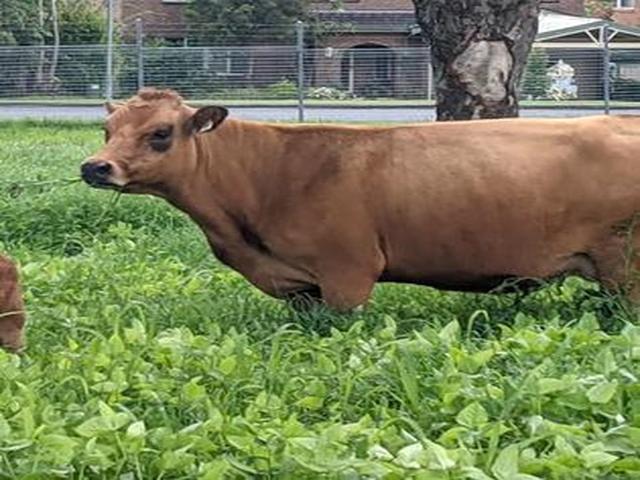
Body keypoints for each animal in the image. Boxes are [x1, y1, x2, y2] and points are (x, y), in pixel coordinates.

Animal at [81, 88, 640, 311]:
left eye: (160, 134)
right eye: (108, 130)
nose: (95, 166)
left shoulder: (346, 274)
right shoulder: (300, 289)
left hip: (624, 267)